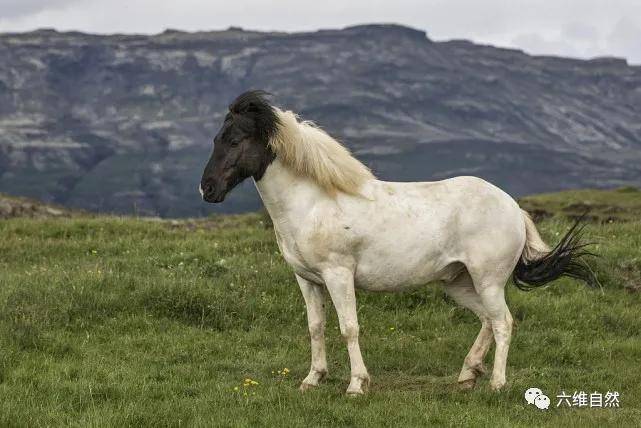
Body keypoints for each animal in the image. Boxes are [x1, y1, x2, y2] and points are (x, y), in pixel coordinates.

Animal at [199, 89, 596, 394]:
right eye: (216, 139)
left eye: (235, 140)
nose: (207, 189)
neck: (313, 202)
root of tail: (513, 207)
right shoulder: (308, 280)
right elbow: (316, 327)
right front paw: (312, 380)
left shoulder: (338, 275)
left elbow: (349, 328)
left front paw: (357, 385)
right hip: (460, 283)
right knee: (487, 320)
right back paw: (467, 376)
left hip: (488, 281)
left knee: (503, 323)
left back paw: (497, 384)